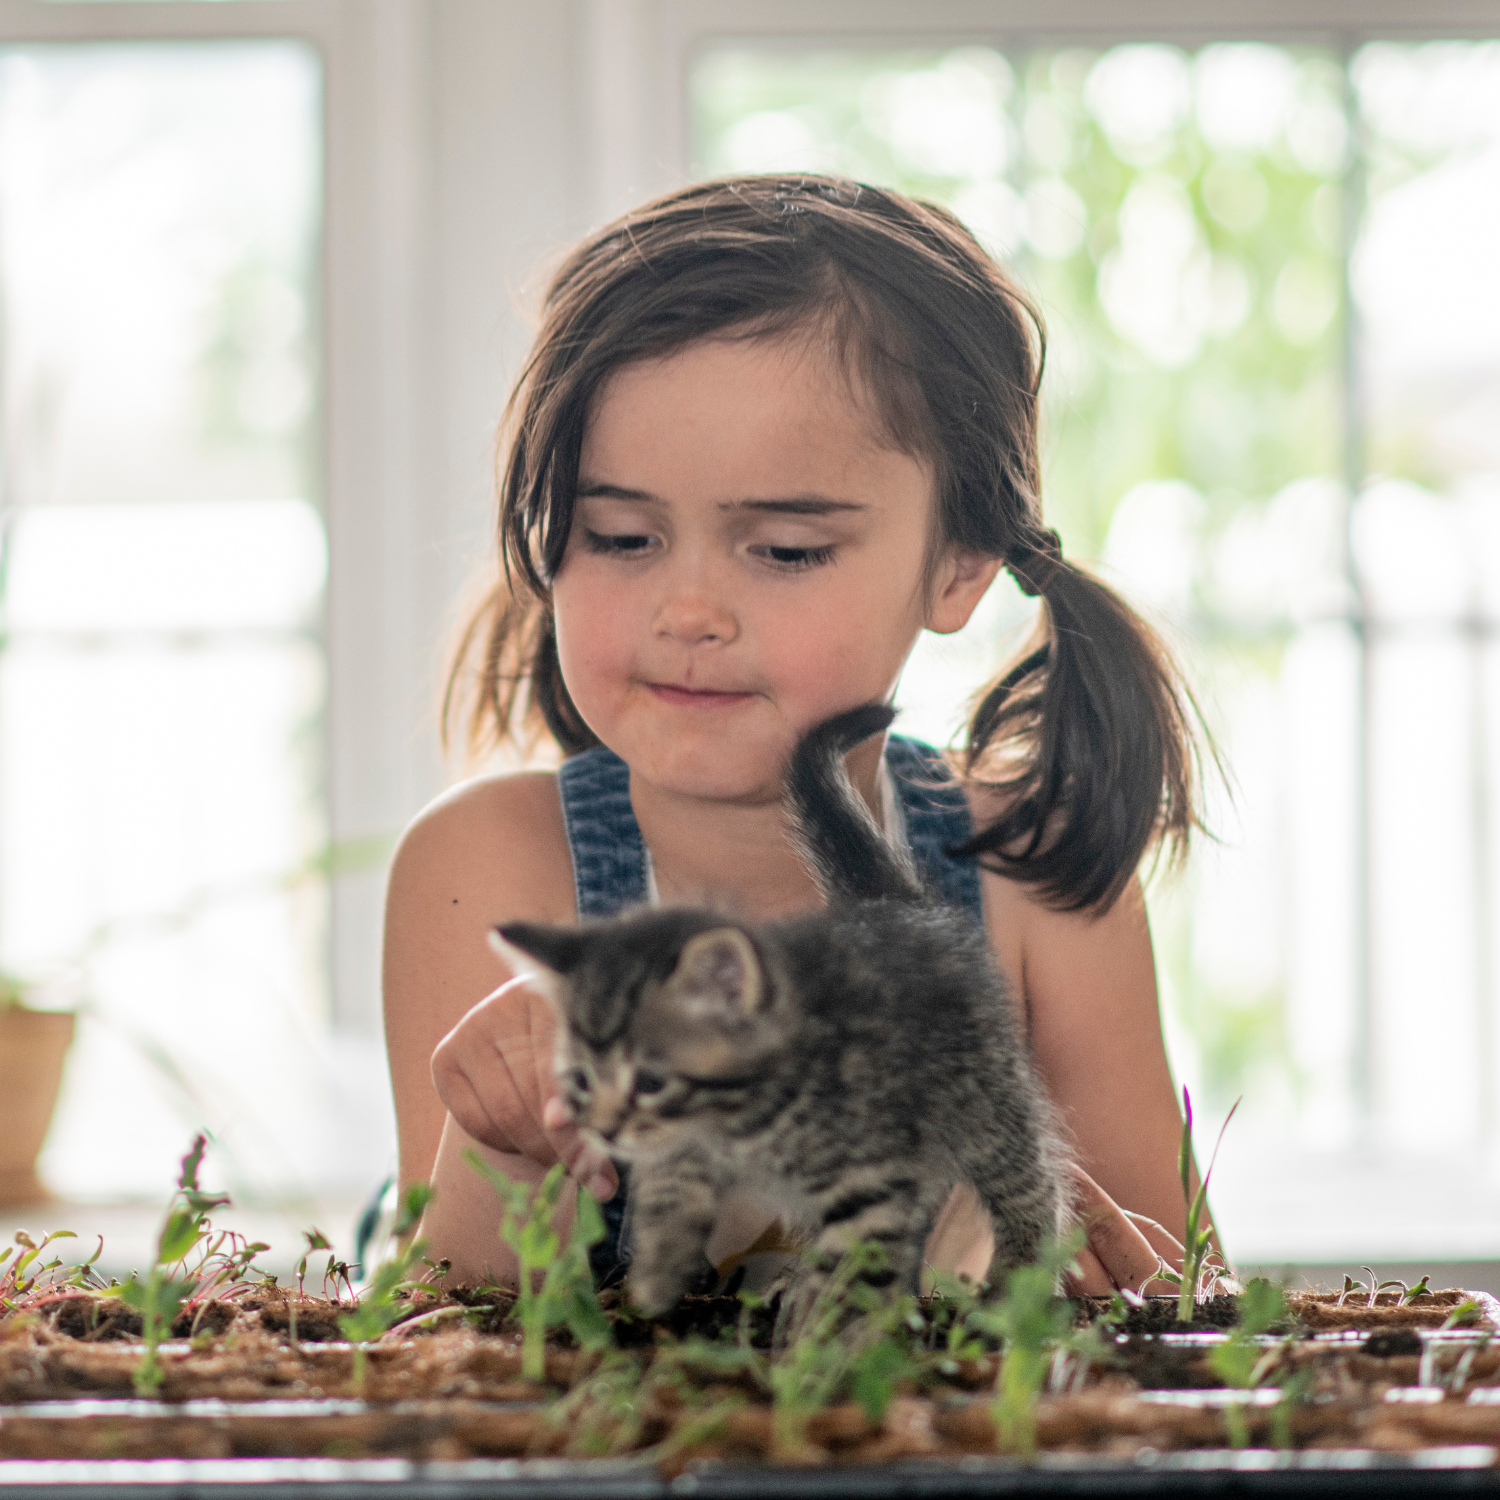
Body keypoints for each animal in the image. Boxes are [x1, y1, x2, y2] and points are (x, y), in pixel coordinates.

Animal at [498, 708, 1074, 1344]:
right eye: (580, 1081)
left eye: (649, 1082)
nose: (603, 1131)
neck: (735, 1119)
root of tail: (898, 904)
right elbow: (673, 1190)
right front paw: (658, 1271)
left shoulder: (866, 1174)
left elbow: (858, 1265)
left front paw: (823, 1352)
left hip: (984, 1095)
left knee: (1032, 1181)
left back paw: (1016, 1282)